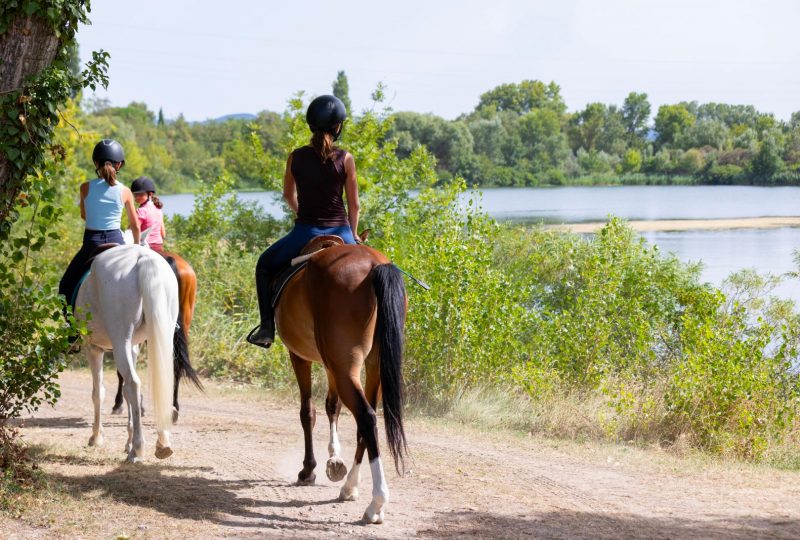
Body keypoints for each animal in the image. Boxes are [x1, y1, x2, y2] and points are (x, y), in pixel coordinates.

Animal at [74, 244, 181, 460]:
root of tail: (142, 257)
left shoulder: (94, 348)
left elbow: (98, 392)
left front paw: (96, 437)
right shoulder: (133, 347)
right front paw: (128, 440)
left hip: (119, 340)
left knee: (132, 383)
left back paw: (138, 450)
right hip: (161, 335)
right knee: (159, 381)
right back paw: (162, 443)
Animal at [276, 239, 410, 524]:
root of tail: (374, 266)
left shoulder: (299, 356)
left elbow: (308, 412)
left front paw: (309, 470)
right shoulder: (330, 365)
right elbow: (332, 406)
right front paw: (334, 458)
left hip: (344, 365)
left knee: (366, 417)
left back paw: (376, 503)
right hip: (370, 366)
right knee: (365, 423)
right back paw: (350, 486)